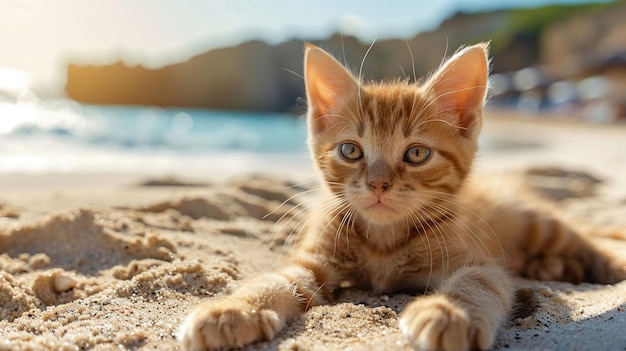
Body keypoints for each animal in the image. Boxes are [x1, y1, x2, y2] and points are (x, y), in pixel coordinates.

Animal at [177, 42, 624, 350]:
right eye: (350, 151)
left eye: (417, 154)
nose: (378, 183)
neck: (383, 241)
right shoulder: (313, 259)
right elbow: (276, 279)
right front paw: (233, 309)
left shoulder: (479, 259)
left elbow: (478, 281)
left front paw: (449, 313)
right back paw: (553, 267)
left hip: (537, 223)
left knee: (590, 241)